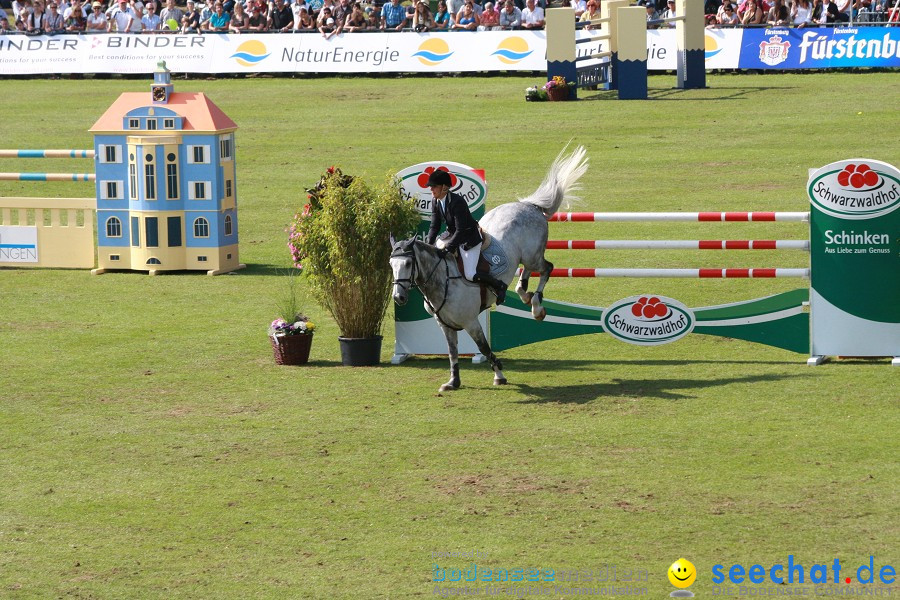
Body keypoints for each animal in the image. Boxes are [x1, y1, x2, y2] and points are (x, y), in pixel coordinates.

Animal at [388, 143, 588, 392]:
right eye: (391, 264)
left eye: (407, 263)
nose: (398, 298)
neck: (441, 281)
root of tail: (528, 206)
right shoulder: (445, 325)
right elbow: (452, 352)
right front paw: (453, 382)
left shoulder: (470, 321)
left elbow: (483, 347)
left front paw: (499, 375)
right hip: (525, 257)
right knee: (526, 275)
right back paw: (525, 295)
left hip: (532, 256)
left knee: (546, 268)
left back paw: (536, 307)